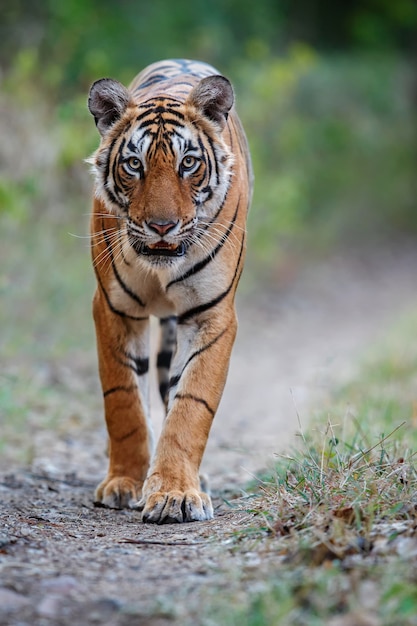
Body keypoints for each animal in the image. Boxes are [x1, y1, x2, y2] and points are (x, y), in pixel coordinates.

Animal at [86, 58, 252, 520]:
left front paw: (175, 493)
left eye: (188, 163)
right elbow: (123, 401)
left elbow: (190, 406)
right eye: (134, 164)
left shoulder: (211, 315)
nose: (162, 226)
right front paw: (124, 482)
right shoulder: (115, 309)